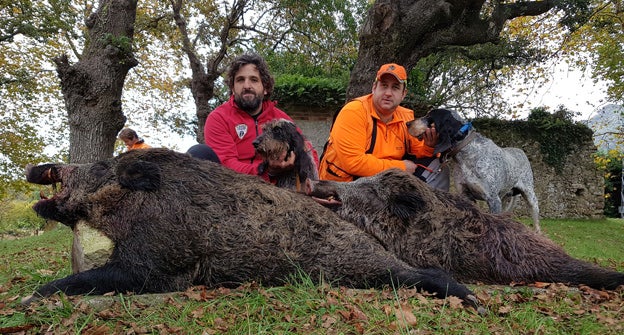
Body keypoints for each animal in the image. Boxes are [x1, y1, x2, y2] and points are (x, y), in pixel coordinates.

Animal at [408, 109, 540, 232]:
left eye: (429, 116)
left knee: (537, 224)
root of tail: (520, 151)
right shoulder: (466, 195)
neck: (467, 153)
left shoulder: (493, 199)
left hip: (530, 198)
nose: (408, 123)